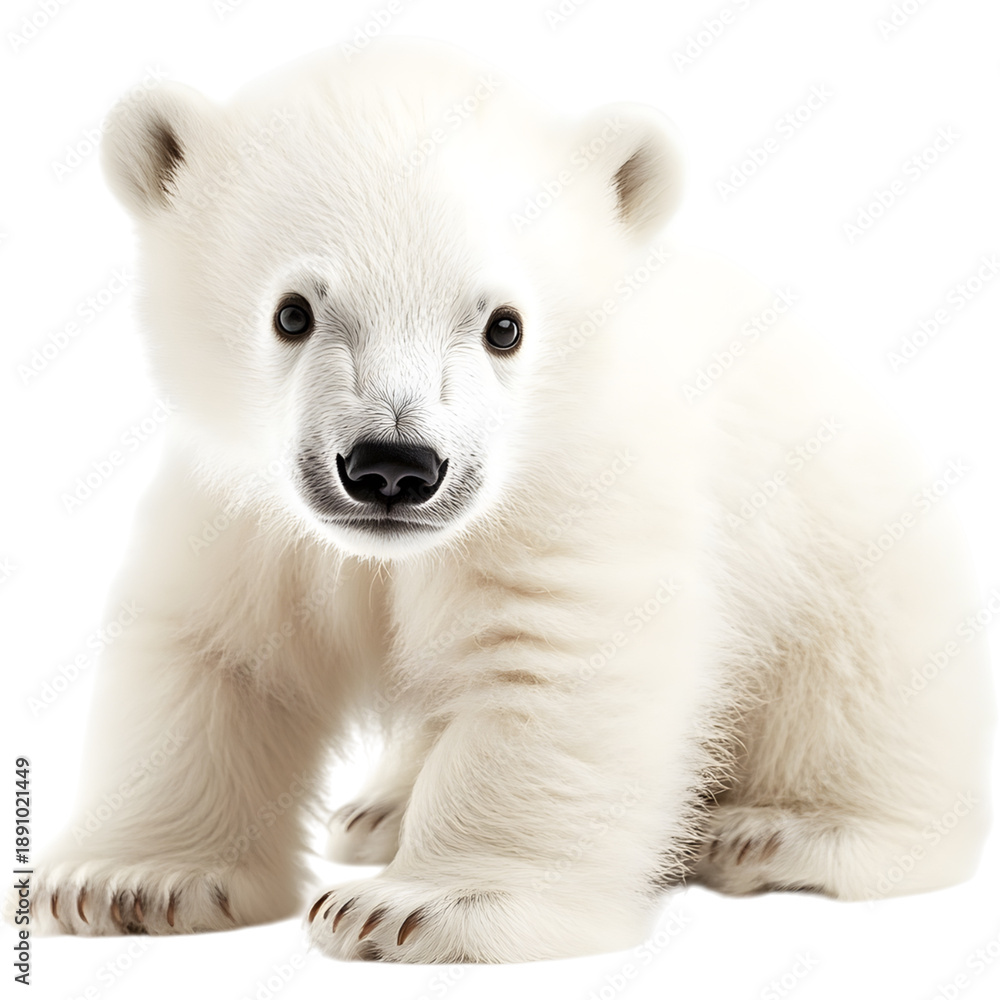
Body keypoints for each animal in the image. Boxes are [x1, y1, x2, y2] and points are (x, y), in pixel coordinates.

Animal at [20, 39, 993, 963]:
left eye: (504, 326)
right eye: (292, 312)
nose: (392, 466)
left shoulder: (576, 496)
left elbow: (554, 662)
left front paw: (418, 910)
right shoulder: (249, 516)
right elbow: (214, 656)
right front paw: (129, 883)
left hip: (852, 561)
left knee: (853, 695)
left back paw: (780, 832)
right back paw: (376, 812)